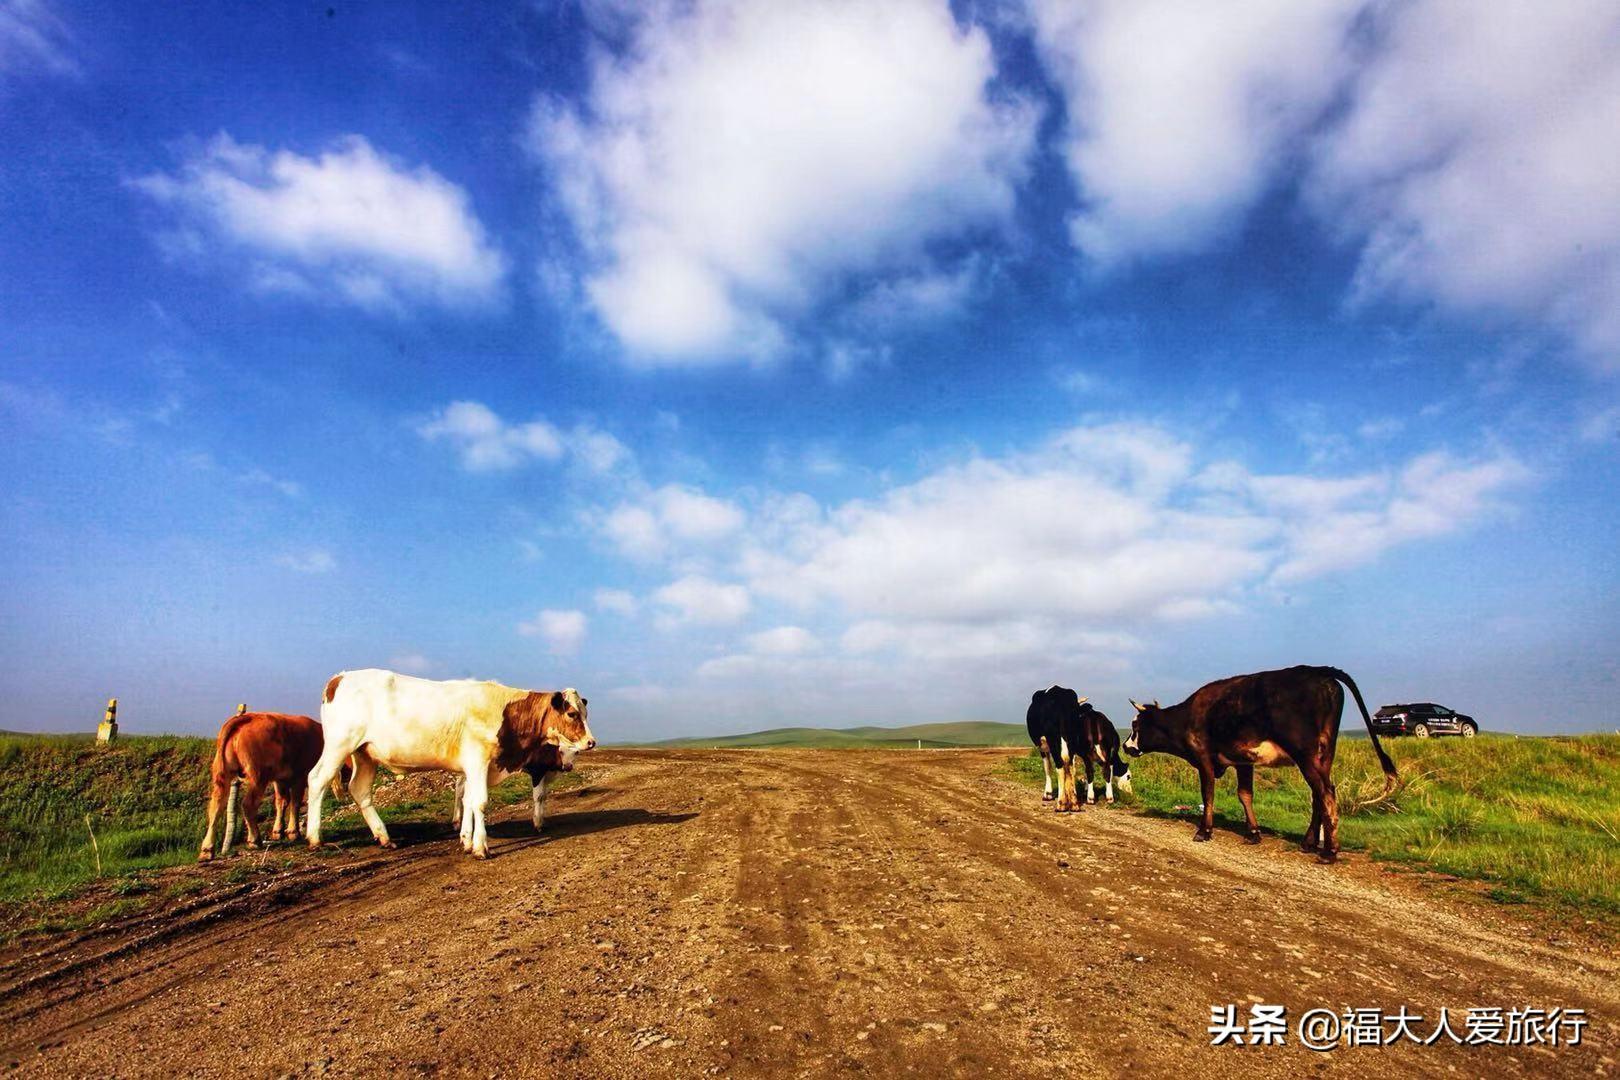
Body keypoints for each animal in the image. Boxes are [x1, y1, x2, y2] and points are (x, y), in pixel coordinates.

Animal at [307, 667, 596, 861]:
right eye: (572, 714)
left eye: (585, 713)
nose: (591, 742)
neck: (505, 712)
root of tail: (340, 677)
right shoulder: (478, 761)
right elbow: (479, 803)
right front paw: (480, 847)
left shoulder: (473, 767)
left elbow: (468, 800)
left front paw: (467, 840)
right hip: (339, 745)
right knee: (317, 780)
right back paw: (314, 837)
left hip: (365, 754)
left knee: (360, 790)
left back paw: (384, 837)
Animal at [1127, 667, 1393, 861]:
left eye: (1135, 725)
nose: (1126, 746)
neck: (1186, 717)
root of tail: (1317, 671)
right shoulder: (1244, 761)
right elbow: (1245, 794)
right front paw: (1253, 833)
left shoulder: (1204, 758)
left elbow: (1208, 793)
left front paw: (1204, 831)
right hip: (1324, 753)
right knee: (1320, 793)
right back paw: (1309, 842)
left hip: (1304, 754)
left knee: (1325, 792)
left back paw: (1329, 851)